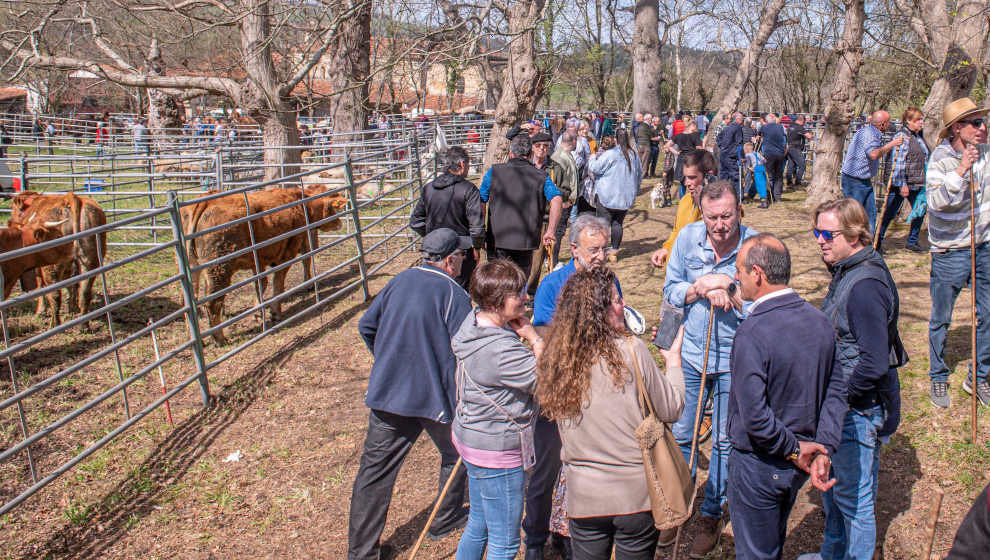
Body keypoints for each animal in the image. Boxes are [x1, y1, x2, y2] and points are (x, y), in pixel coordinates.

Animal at [9, 190, 109, 322]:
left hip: (52, 266)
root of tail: (70, 198)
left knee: (55, 295)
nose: (10, 223)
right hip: (90, 259)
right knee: (84, 292)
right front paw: (72, 308)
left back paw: (55, 323)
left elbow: (40, 285)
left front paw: (40, 311)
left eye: (13, 208)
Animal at [184, 186, 350, 344]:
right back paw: (219, 338)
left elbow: (261, 284)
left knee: (191, 302)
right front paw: (275, 312)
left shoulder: (258, 260)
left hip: (195, 268)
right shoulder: (288, 252)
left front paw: (258, 311)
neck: (300, 204)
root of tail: (205, 203)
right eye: (331, 208)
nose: (339, 223)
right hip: (219, 268)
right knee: (212, 303)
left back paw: (198, 340)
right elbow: (278, 283)